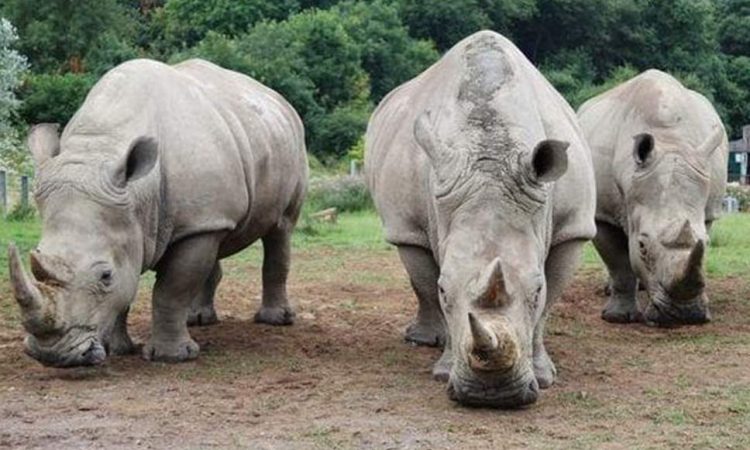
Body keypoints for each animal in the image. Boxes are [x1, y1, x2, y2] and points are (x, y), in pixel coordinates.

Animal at [8, 58, 308, 367]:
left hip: (290, 145)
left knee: (281, 229)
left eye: (105, 275)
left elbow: (171, 289)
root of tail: (277, 99)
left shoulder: (187, 225)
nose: (51, 354)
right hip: (221, 190)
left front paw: (171, 357)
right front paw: (118, 349)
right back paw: (199, 320)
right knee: (217, 239)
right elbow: (127, 289)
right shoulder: (147, 221)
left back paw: (274, 320)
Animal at [365, 31, 596, 408]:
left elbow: (548, 305)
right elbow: (428, 285)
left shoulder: (572, 228)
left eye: (537, 289)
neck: (492, 151)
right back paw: (421, 340)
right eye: (445, 288)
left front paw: (544, 375)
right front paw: (443, 370)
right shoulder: (409, 224)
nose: (493, 394)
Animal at [577, 70, 728, 326]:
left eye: (708, 244)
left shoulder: (707, 211)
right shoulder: (602, 214)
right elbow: (619, 264)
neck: (670, 140)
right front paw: (618, 318)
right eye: (642, 246)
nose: (685, 315)